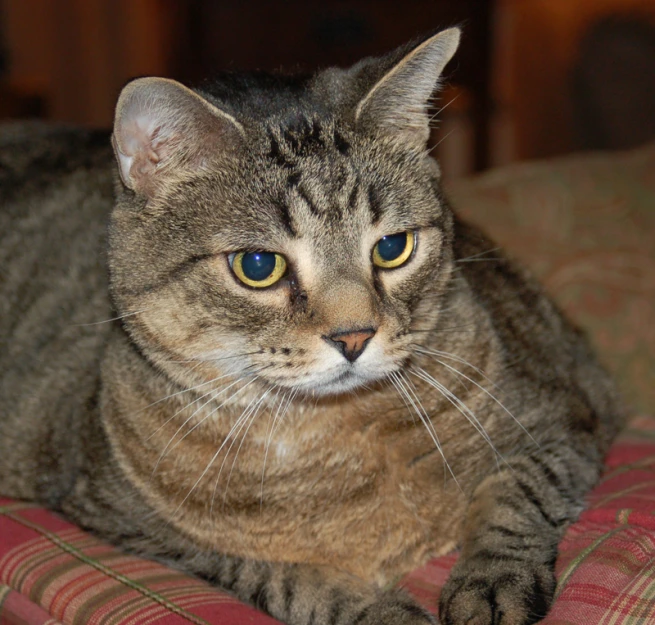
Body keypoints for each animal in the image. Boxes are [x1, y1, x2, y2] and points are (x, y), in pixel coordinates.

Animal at [0, 28, 624, 624]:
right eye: (258, 266)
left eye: (393, 248)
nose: (355, 337)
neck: (329, 440)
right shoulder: (140, 528)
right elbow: (286, 578)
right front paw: (378, 610)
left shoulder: (572, 410)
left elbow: (515, 493)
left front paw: (491, 581)